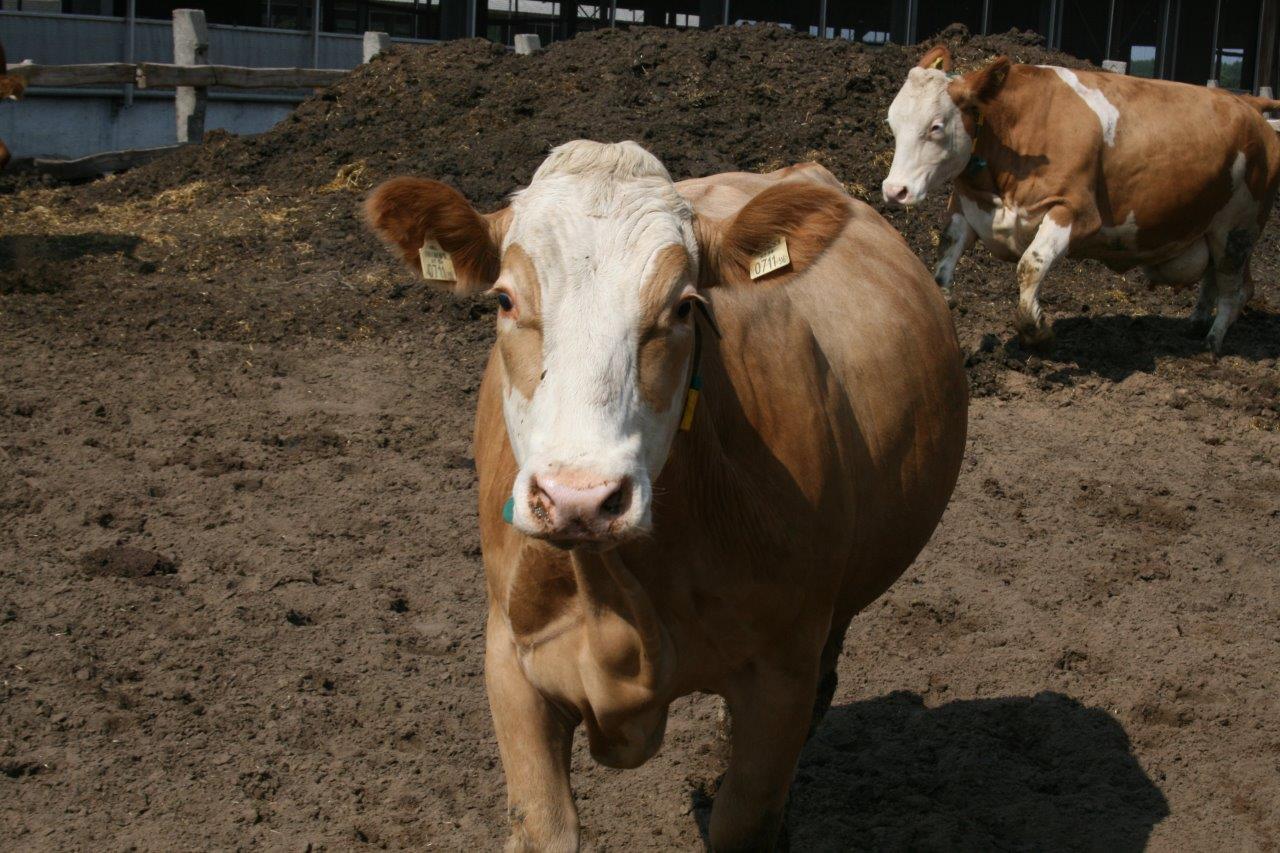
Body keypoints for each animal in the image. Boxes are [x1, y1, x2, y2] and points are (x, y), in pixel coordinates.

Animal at [366, 140, 962, 850]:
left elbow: (744, 818)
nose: (579, 498)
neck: (613, 597)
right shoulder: (510, 662)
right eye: (505, 300)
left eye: (683, 307)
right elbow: (544, 825)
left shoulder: (782, 673)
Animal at [880, 45, 1280, 350]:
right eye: (893, 123)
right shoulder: (966, 208)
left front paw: (1037, 330)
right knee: (1216, 279)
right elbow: (942, 266)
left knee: (1236, 289)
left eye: (936, 126)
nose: (894, 190)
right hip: (1213, 230)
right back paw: (1196, 323)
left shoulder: (1073, 210)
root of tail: (1249, 106)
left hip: (1238, 228)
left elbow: (1031, 264)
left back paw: (1212, 341)